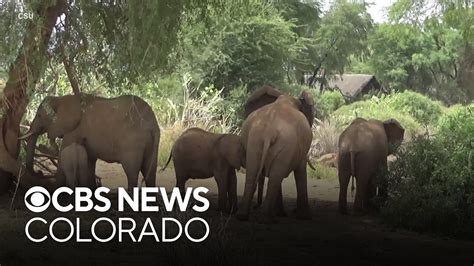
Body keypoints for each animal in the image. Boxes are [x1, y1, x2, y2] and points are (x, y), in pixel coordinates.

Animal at [19, 93, 160, 189]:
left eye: (39, 116)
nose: (40, 172)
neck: (61, 98)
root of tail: (152, 124)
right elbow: (90, 161)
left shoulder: (74, 130)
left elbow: (64, 151)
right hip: (152, 143)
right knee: (150, 171)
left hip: (132, 142)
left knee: (132, 172)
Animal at [236, 85, 314, 222]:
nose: (255, 206)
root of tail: (269, 131)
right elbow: (300, 170)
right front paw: (305, 217)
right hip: (286, 144)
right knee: (275, 177)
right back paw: (266, 218)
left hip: (255, 140)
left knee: (253, 173)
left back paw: (243, 216)